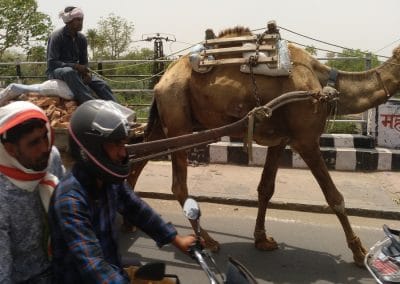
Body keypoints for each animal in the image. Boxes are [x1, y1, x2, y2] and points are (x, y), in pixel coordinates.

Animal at [127, 25, 400, 268]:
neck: (324, 84)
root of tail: (161, 82)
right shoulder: (305, 139)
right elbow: (334, 196)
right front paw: (359, 253)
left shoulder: (280, 140)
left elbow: (266, 188)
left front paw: (262, 240)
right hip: (177, 116)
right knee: (177, 185)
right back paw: (209, 241)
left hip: (165, 121)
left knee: (138, 157)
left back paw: (130, 222)